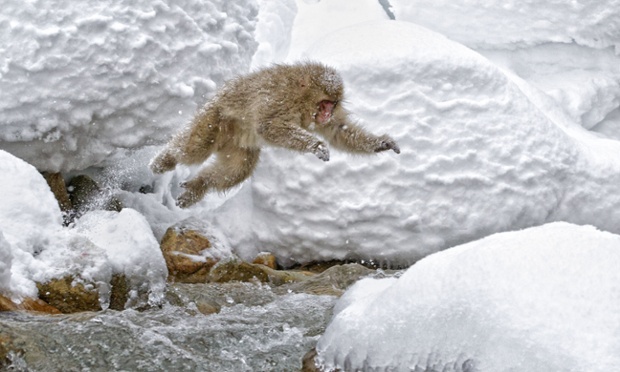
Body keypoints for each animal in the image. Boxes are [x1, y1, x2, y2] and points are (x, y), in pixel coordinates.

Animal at [150, 60, 402, 206]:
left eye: (333, 105)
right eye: (324, 104)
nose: (327, 114)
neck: (300, 98)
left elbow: (340, 131)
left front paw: (381, 143)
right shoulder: (278, 98)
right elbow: (267, 126)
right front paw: (316, 146)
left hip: (237, 144)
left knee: (236, 171)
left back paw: (199, 185)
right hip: (215, 119)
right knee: (195, 149)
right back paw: (164, 161)